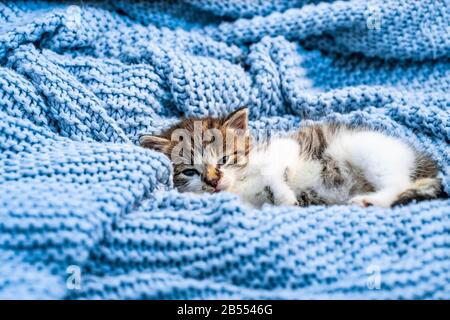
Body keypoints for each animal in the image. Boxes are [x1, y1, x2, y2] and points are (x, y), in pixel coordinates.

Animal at [140, 108, 442, 208]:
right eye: (190, 172)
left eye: (225, 159)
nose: (214, 182)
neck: (240, 183)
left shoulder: (286, 147)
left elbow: (273, 173)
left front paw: (284, 195)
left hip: (366, 151)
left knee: (397, 183)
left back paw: (371, 200)